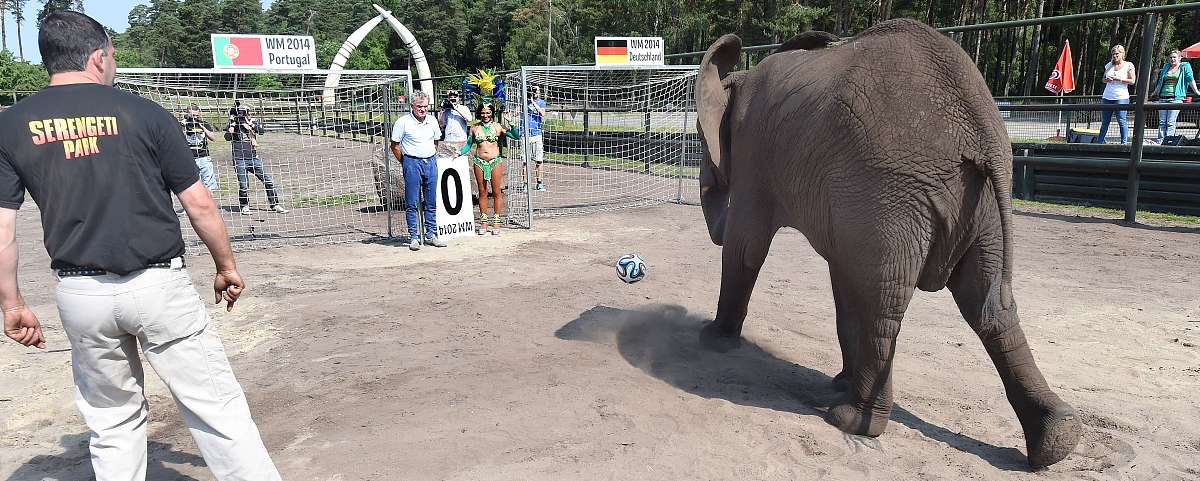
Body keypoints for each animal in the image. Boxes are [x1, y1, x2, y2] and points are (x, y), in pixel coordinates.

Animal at [695, 19, 1081, 469]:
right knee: (989, 309)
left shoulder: (756, 151)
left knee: (884, 304)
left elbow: (747, 247)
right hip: (975, 203)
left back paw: (853, 421)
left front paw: (713, 339)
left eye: (702, 140)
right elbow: (843, 279)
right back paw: (1058, 440)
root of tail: (979, 128)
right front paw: (838, 382)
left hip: (893, 193)